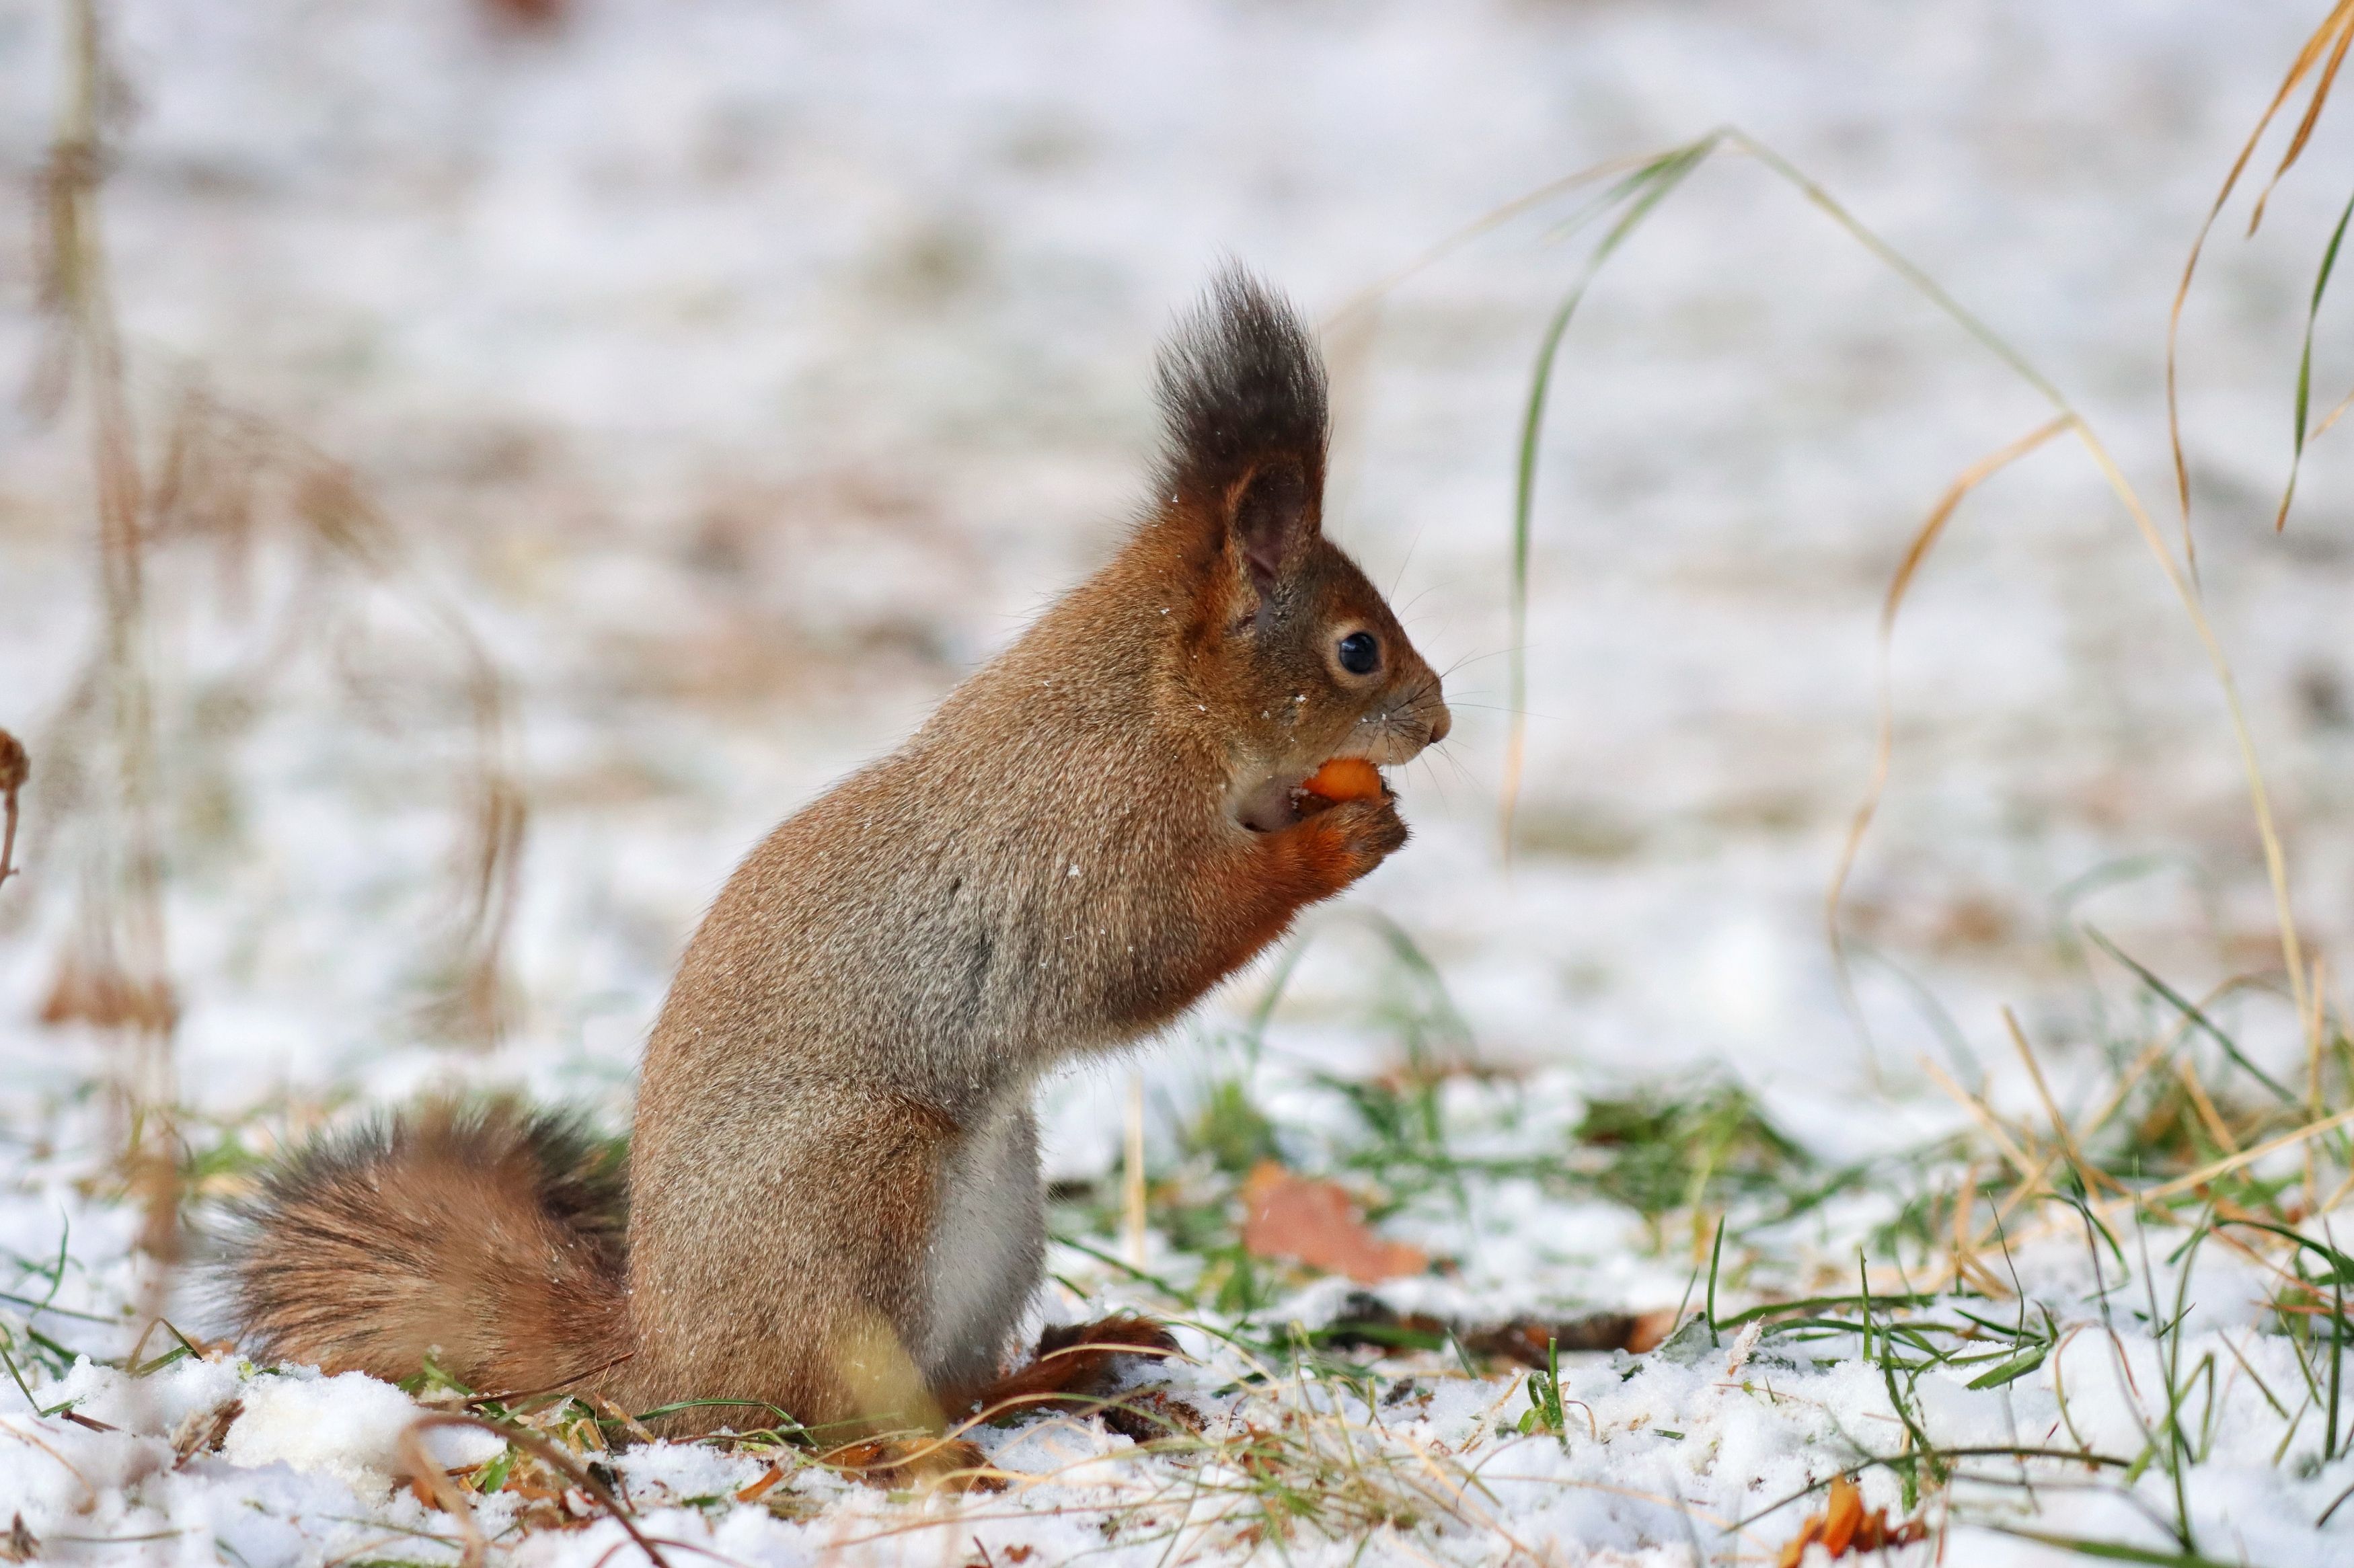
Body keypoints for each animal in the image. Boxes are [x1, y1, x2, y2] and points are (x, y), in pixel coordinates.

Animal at [234, 266, 1450, 1468]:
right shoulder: (1091, 835)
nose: (1438, 723)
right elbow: (1152, 946)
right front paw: (1334, 844)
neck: (1159, 702)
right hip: (861, 1199)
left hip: (997, 1210)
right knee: (826, 1419)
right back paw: (927, 1447)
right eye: (1357, 649)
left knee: (945, 1385)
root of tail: (672, 1365)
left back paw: (1053, 1370)